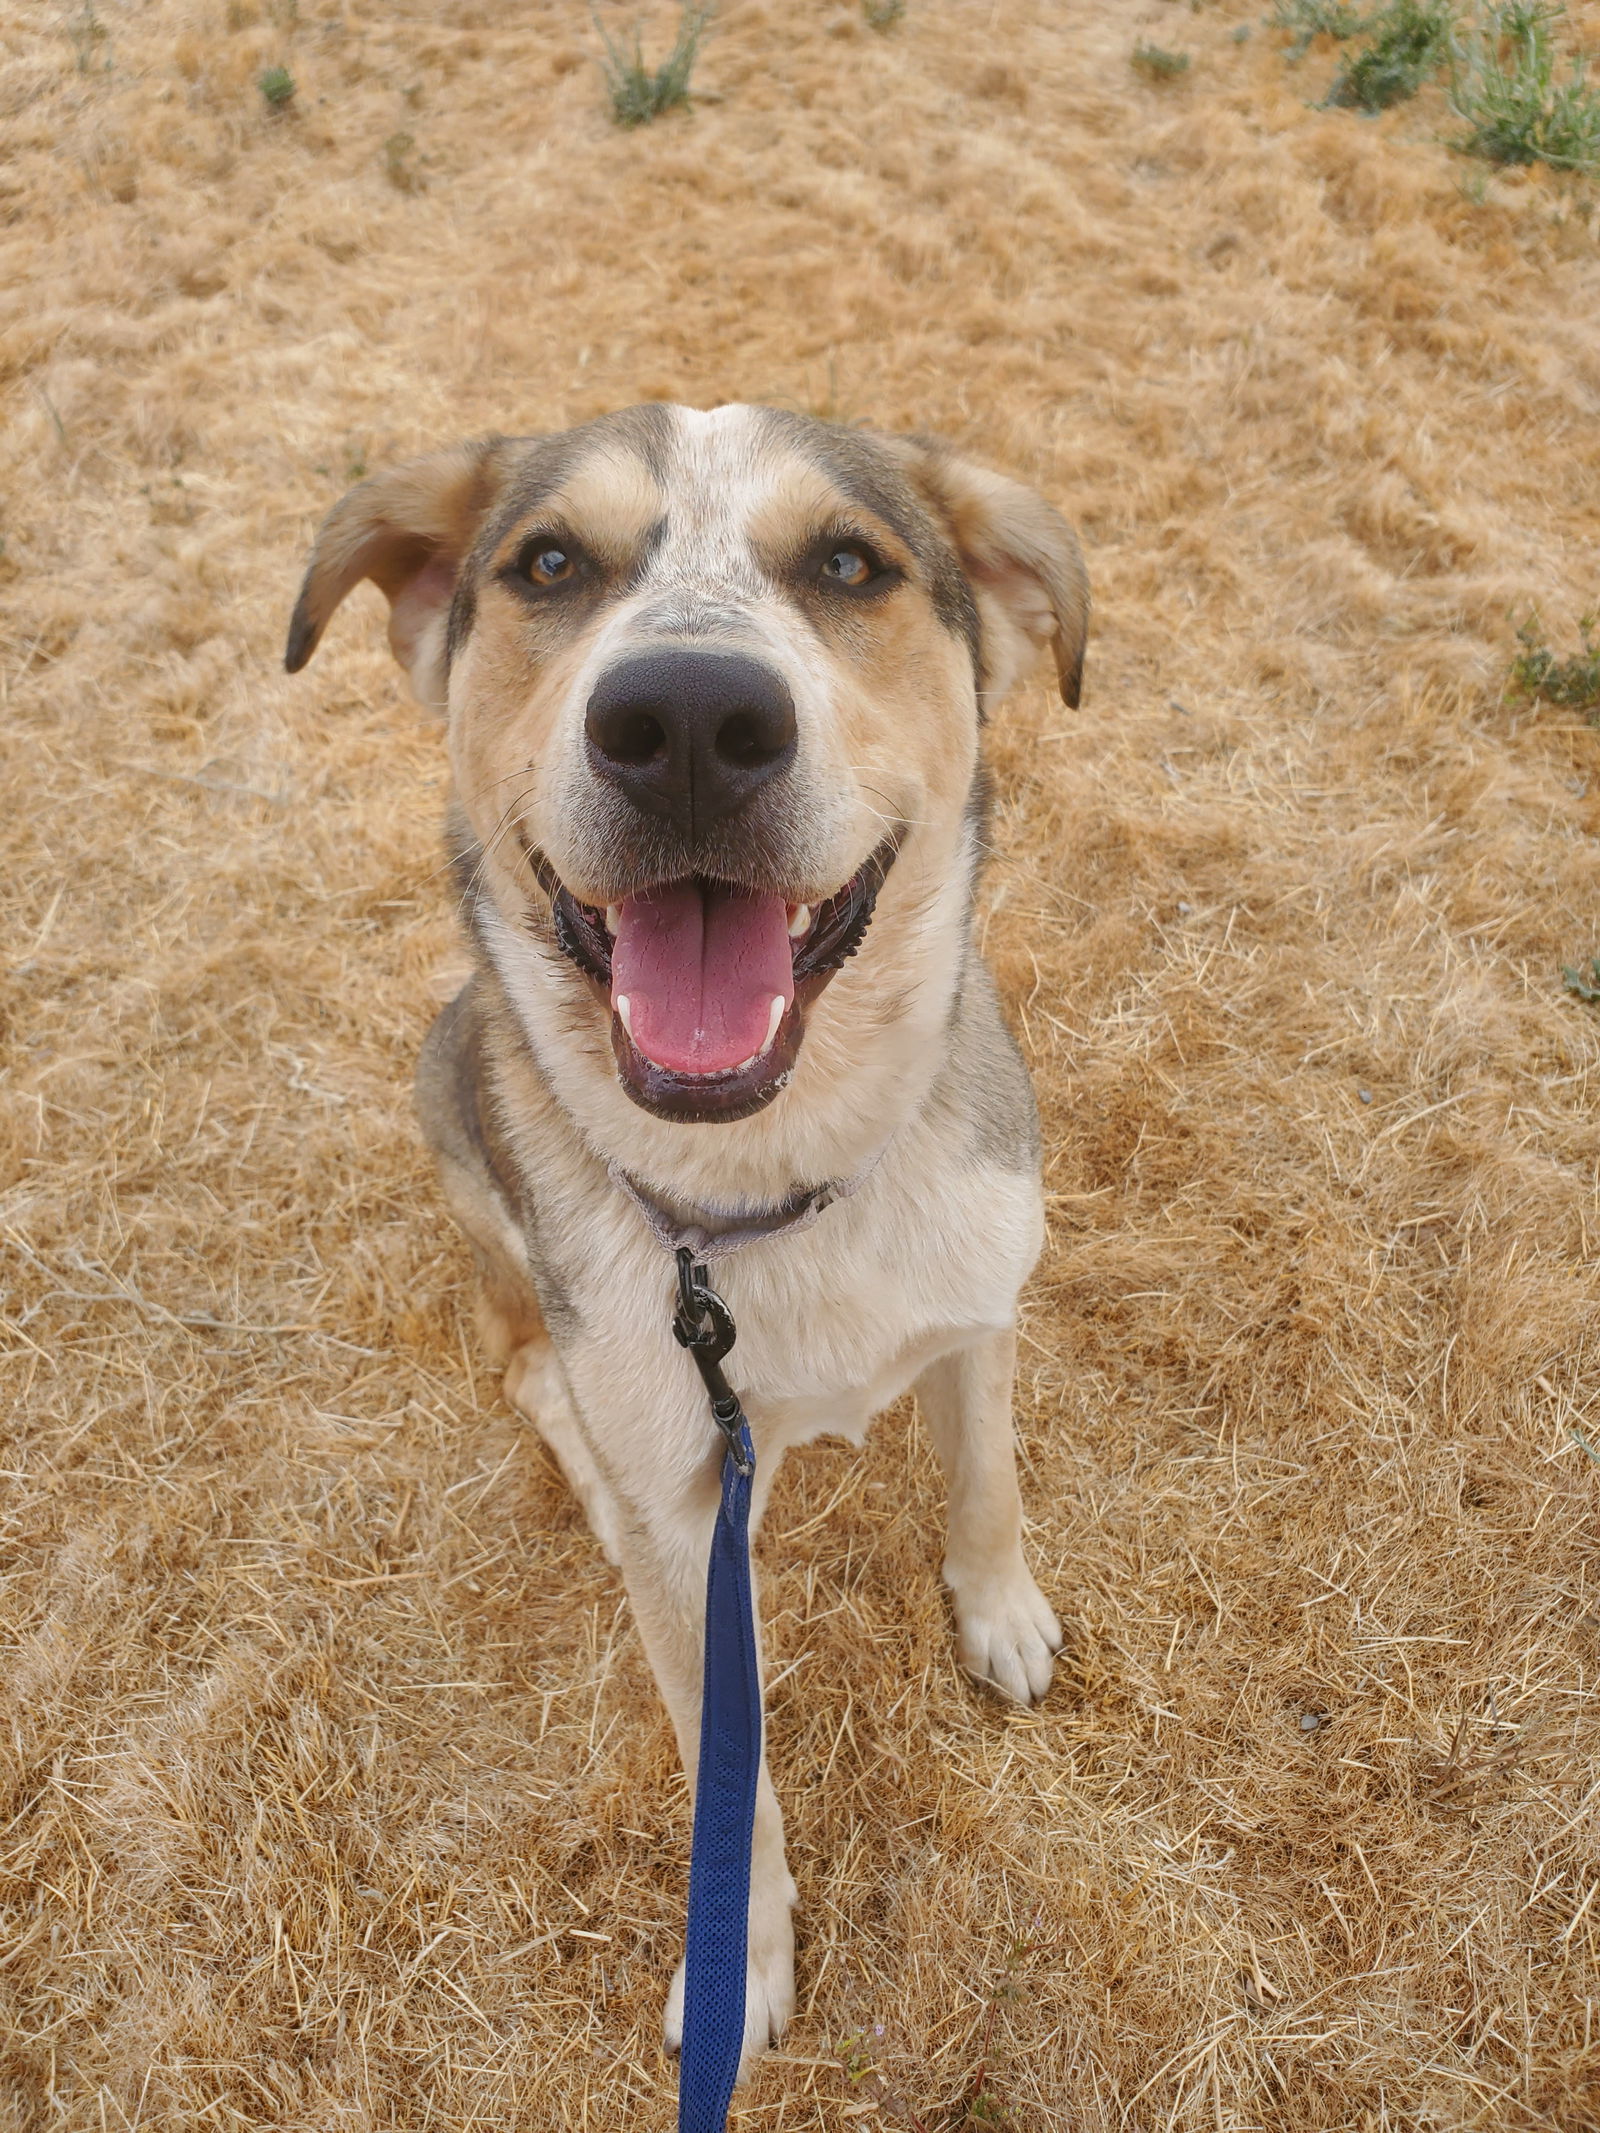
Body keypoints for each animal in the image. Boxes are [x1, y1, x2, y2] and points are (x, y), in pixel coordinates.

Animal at [285, 407, 1092, 2073]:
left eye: (848, 563)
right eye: (549, 565)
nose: (690, 719)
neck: (775, 1180)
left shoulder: (981, 1303)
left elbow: (986, 1475)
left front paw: (999, 1610)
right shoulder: (687, 1533)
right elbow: (736, 1770)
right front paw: (746, 1958)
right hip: (457, 1097)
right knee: (521, 1355)